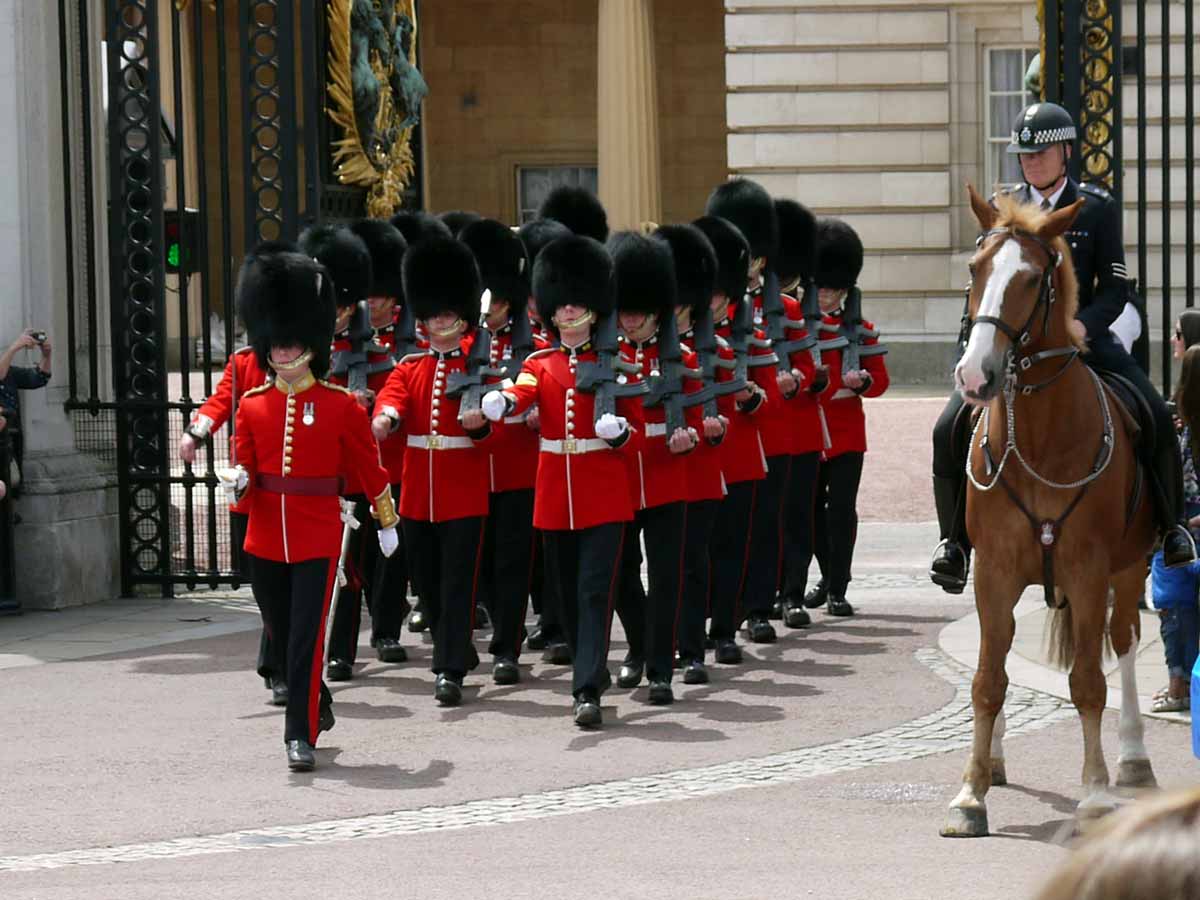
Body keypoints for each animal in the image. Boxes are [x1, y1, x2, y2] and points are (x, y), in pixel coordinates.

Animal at [940, 184, 1156, 840]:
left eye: (1034, 278)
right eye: (974, 269)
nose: (974, 375)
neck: (1036, 437)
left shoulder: (1087, 571)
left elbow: (1088, 682)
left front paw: (1095, 792)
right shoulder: (993, 572)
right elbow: (988, 679)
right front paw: (971, 791)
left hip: (1129, 570)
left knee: (1124, 642)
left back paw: (1132, 756)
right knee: (1002, 653)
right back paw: (995, 758)